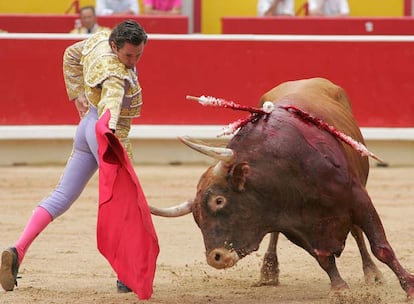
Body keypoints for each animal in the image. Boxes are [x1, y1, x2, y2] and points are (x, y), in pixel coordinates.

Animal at [150, 77, 412, 298]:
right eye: (196, 217)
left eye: (219, 200)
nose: (216, 257)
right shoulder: (293, 225)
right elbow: (324, 260)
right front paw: (340, 289)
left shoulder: (358, 199)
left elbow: (381, 247)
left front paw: (408, 287)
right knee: (276, 237)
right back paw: (268, 271)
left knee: (358, 232)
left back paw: (373, 274)